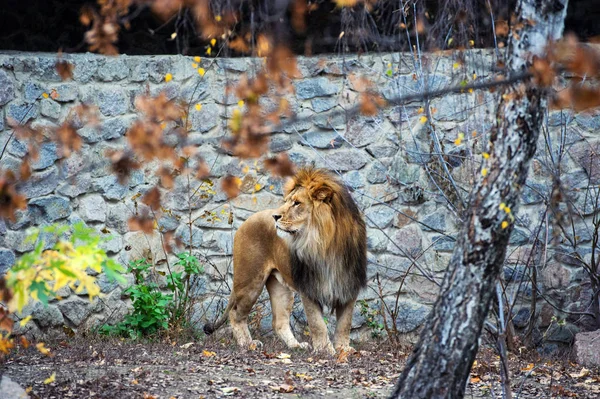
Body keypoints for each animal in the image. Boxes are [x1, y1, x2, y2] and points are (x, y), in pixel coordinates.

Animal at [204, 167, 368, 354]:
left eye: (297, 203)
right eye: (287, 201)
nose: (275, 216)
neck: (326, 245)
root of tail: (246, 221)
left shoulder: (348, 285)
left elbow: (344, 324)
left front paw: (344, 350)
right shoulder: (309, 287)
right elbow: (317, 324)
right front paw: (325, 350)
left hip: (281, 287)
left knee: (279, 322)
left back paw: (296, 345)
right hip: (250, 281)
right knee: (235, 313)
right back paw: (248, 344)